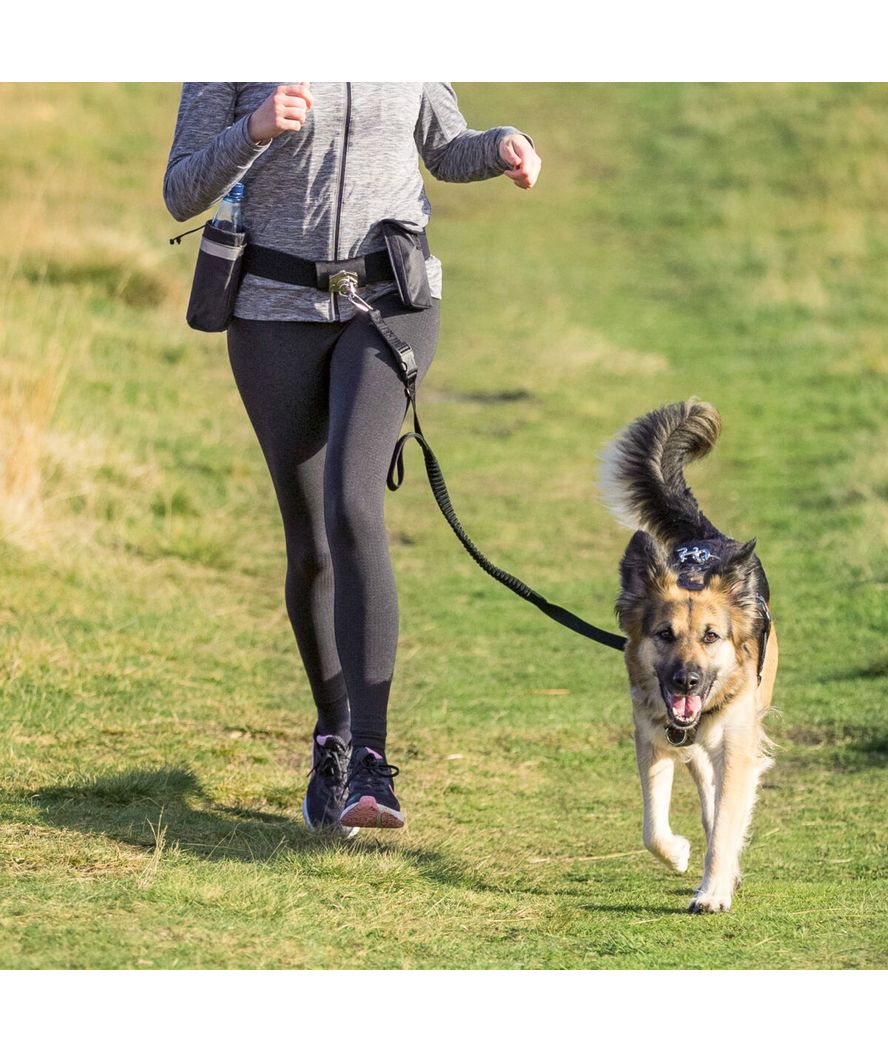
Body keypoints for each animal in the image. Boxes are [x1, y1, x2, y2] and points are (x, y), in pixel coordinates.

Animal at [602, 402, 779, 914]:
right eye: (665, 635)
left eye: (711, 636)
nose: (688, 682)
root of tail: (707, 535)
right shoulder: (654, 741)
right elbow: (651, 828)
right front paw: (680, 853)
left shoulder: (739, 745)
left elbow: (726, 824)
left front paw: (714, 890)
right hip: (695, 749)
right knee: (706, 791)